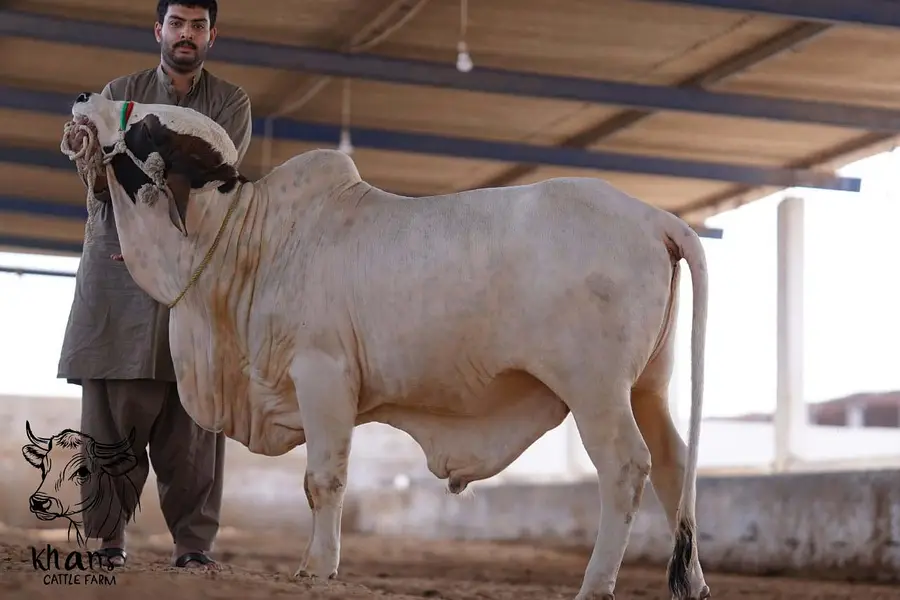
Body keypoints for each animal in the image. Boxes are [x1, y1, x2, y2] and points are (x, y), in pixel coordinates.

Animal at [60, 90, 712, 600]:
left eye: (145, 124)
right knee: (676, 468)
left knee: (626, 468)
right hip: (648, 388)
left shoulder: (322, 374)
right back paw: (696, 584)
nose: (85, 98)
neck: (248, 240)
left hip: (595, 388)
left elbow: (322, 480)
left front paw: (317, 568)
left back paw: (595, 584)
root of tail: (655, 217)